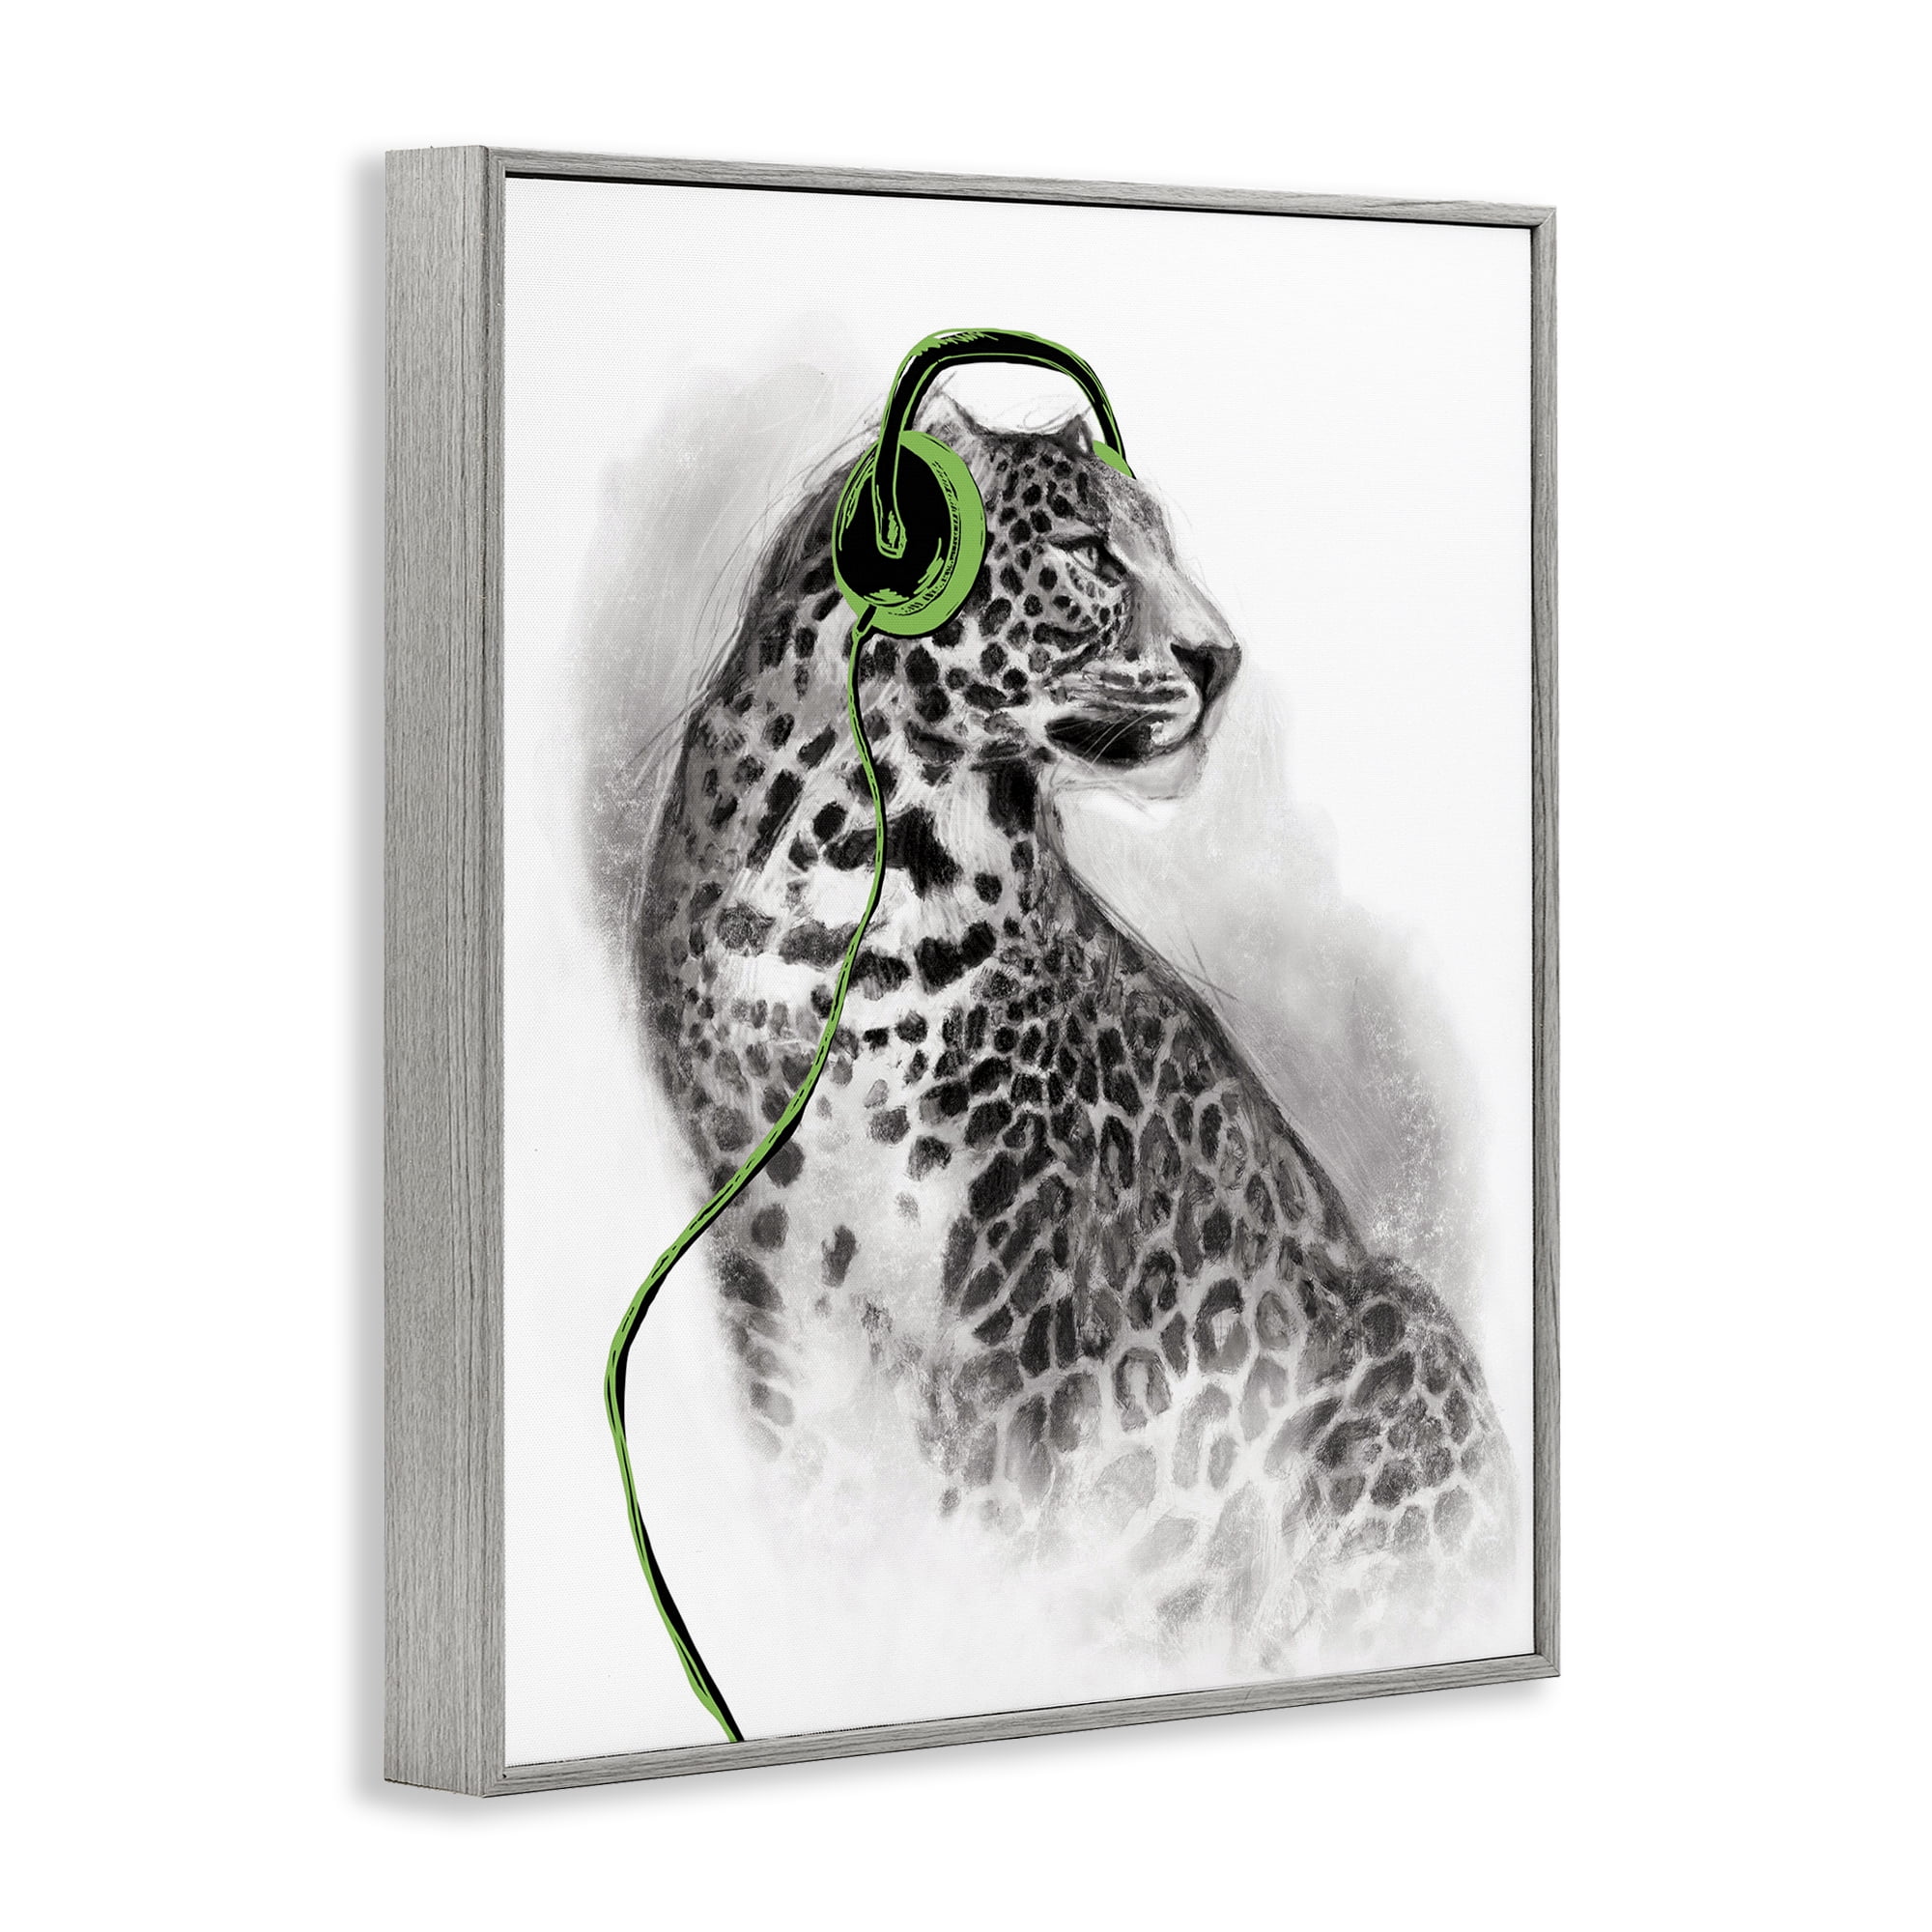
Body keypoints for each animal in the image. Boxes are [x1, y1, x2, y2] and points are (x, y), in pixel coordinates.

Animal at [630, 393, 1516, 1675]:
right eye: (1091, 551)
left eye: (1161, 544)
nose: (1220, 658)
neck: (855, 857)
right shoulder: (759, 1249)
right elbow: (817, 1483)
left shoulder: (1021, 1278)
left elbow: (992, 1523)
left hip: (1399, 1340)